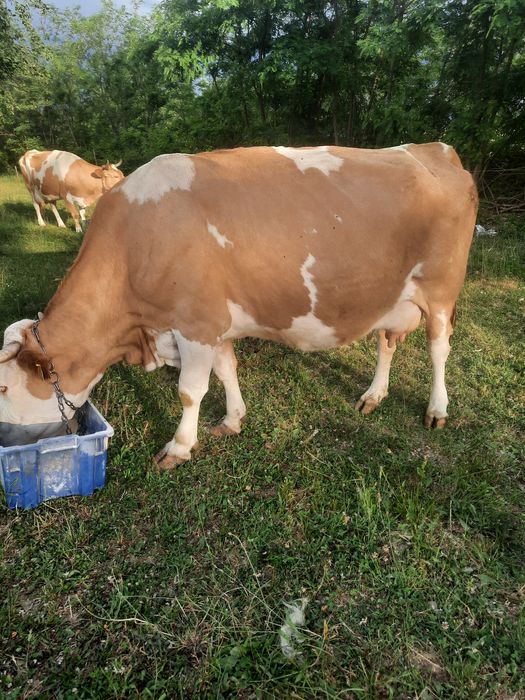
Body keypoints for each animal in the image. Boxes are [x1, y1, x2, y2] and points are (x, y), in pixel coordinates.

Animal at [0, 143, 478, 467]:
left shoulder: (195, 324)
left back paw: (437, 409)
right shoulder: (217, 322)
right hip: (390, 295)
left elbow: (190, 391)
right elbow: (227, 370)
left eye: (3, 389)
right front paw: (232, 420)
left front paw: (179, 447)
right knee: (387, 343)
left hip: (440, 290)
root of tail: (435, 149)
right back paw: (373, 395)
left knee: (439, 349)